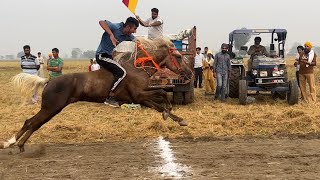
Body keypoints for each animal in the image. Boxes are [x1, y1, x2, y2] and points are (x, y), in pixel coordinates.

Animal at [1, 38, 192, 152]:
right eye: (178, 56)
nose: (189, 73)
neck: (138, 69)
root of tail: (49, 81)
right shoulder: (139, 95)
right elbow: (163, 93)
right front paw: (170, 112)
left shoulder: (141, 99)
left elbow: (160, 103)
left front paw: (177, 118)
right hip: (51, 107)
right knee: (31, 122)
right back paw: (12, 142)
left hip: (51, 108)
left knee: (33, 123)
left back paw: (18, 144)